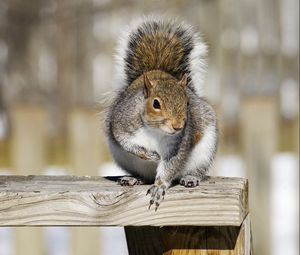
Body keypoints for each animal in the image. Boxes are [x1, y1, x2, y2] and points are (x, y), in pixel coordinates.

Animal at [104, 16, 217, 211]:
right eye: (156, 103)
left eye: (187, 103)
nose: (178, 126)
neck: (154, 130)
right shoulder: (122, 122)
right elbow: (125, 141)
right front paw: (149, 154)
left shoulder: (178, 144)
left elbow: (171, 165)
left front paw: (159, 186)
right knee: (142, 175)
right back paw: (134, 178)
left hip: (204, 151)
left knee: (196, 170)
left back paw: (190, 178)